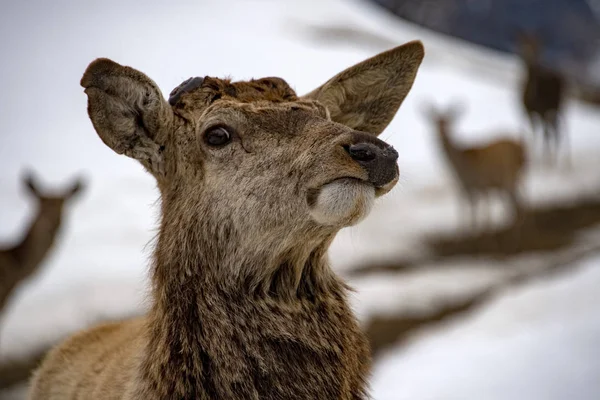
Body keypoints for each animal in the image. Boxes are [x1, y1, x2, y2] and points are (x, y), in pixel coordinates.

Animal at [424, 104, 528, 234]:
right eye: (435, 123)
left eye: (449, 123)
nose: (440, 135)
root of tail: (522, 148)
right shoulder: (466, 187)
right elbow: (469, 209)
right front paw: (469, 230)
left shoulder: (482, 183)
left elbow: (483, 211)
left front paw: (483, 231)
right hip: (517, 177)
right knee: (519, 202)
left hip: (509, 175)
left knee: (518, 203)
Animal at [516, 32, 568, 165]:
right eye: (524, 43)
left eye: (537, 45)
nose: (530, 55)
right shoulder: (527, 111)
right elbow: (531, 132)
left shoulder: (542, 111)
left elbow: (542, 134)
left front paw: (541, 160)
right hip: (551, 111)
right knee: (554, 129)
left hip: (561, 105)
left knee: (561, 129)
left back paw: (563, 162)